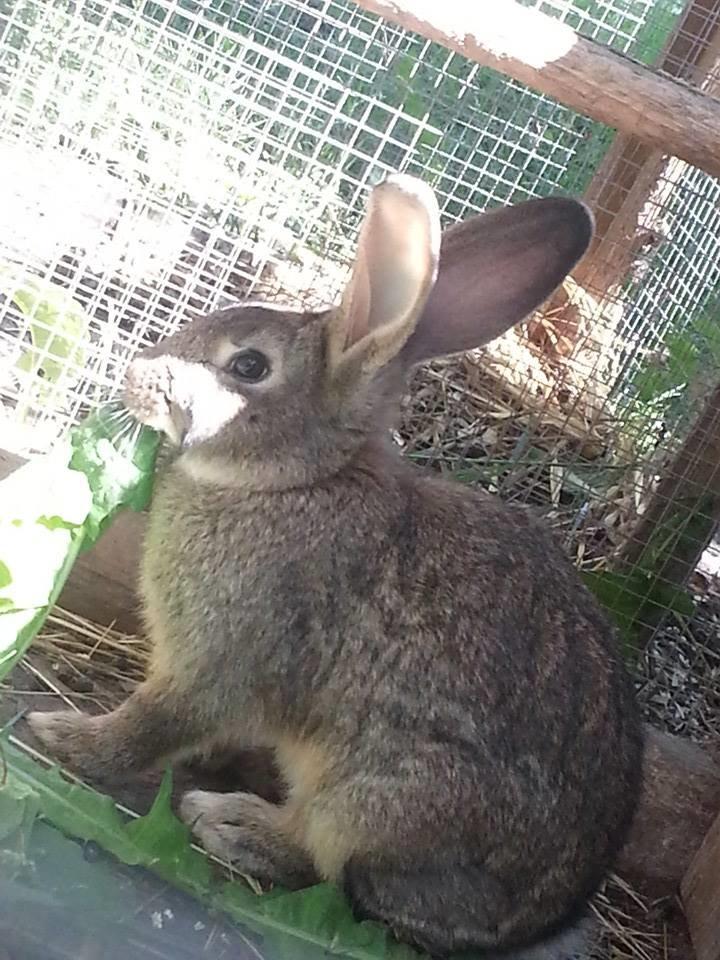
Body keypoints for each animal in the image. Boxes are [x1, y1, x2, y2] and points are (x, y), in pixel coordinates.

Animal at [31, 176, 644, 956]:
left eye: (249, 366)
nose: (135, 376)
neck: (297, 481)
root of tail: (535, 922)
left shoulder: (216, 663)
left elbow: (153, 724)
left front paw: (62, 736)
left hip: (375, 799)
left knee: (330, 865)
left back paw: (231, 823)